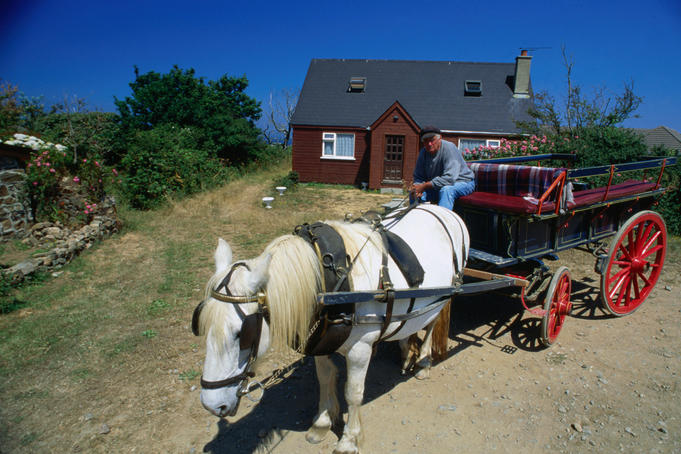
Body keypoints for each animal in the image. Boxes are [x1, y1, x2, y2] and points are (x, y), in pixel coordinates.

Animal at [192, 204, 469, 454]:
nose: (211, 405)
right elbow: (325, 378)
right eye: (200, 326)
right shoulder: (321, 340)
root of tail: (445, 211)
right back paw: (405, 349)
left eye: (242, 334)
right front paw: (322, 423)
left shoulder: (360, 350)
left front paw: (349, 440)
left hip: (443, 296)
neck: (330, 286)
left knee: (431, 323)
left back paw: (423, 362)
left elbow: (353, 393)